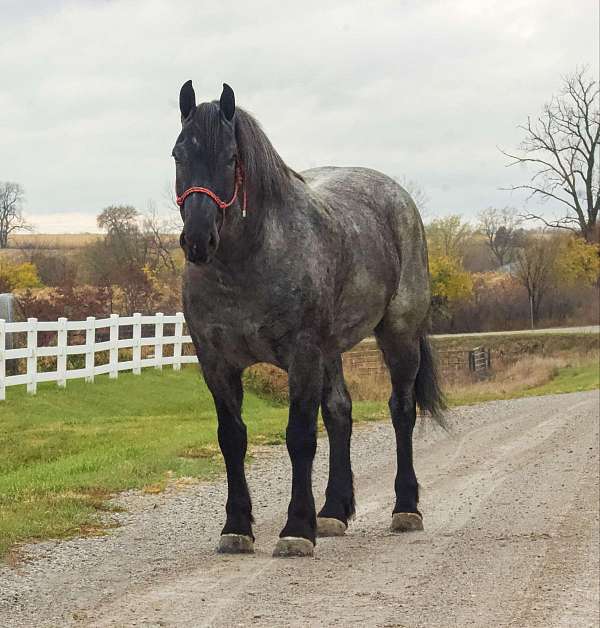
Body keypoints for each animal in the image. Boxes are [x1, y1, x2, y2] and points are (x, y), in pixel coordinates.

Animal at [171, 81, 442, 556]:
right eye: (178, 153)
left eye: (231, 158)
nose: (199, 240)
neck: (247, 263)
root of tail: (397, 197)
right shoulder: (216, 363)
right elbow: (232, 438)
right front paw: (236, 527)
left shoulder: (301, 356)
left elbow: (299, 436)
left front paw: (296, 528)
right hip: (330, 352)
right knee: (339, 413)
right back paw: (333, 511)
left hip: (399, 336)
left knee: (401, 411)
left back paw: (405, 508)